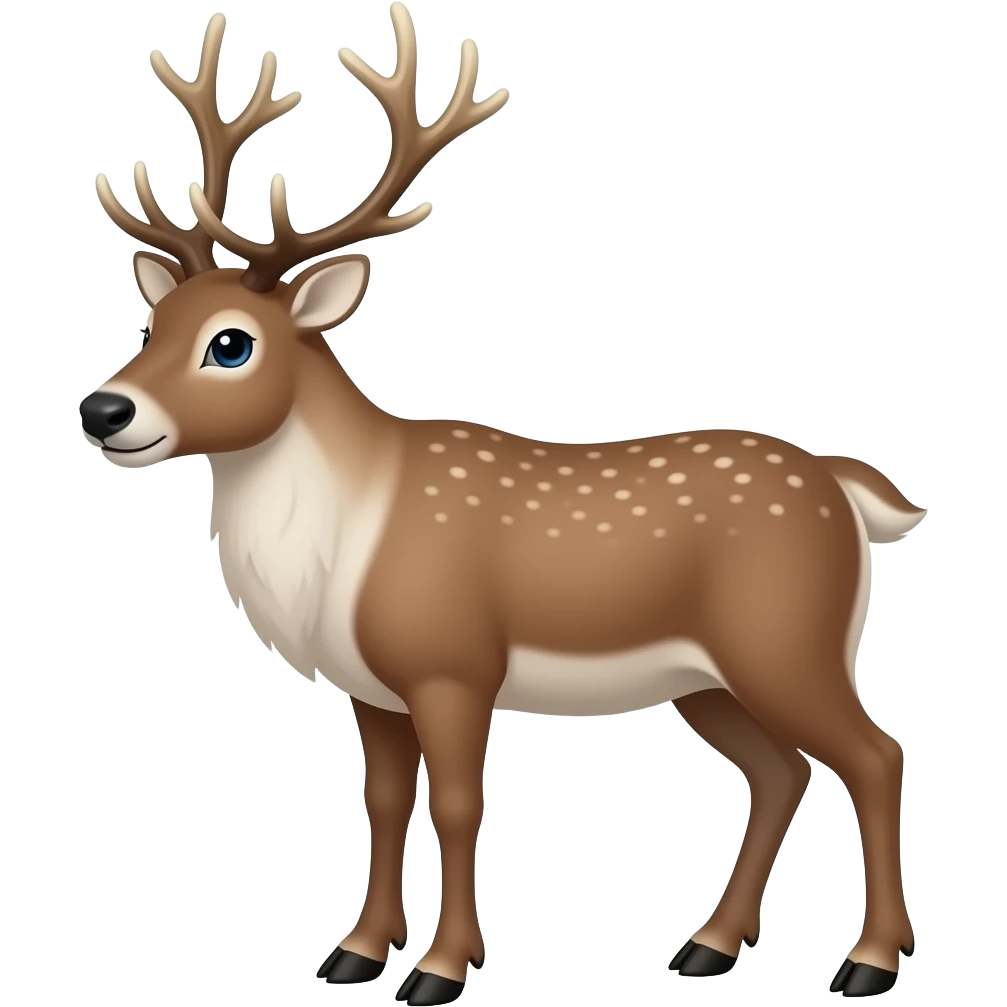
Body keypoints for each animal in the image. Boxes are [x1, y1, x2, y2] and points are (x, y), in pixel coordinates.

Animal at [81, 5, 925, 1003]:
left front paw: (441, 968)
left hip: (787, 638)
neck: (346, 537)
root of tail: (844, 488)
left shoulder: (452, 662)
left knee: (874, 754)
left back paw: (868, 961)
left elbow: (456, 803)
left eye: (231, 343)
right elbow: (381, 800)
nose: (104, 410)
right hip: (708, 677)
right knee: (780, 771)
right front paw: (354, 951)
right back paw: (707, 946)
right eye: (152, 324)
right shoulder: (370, 685)